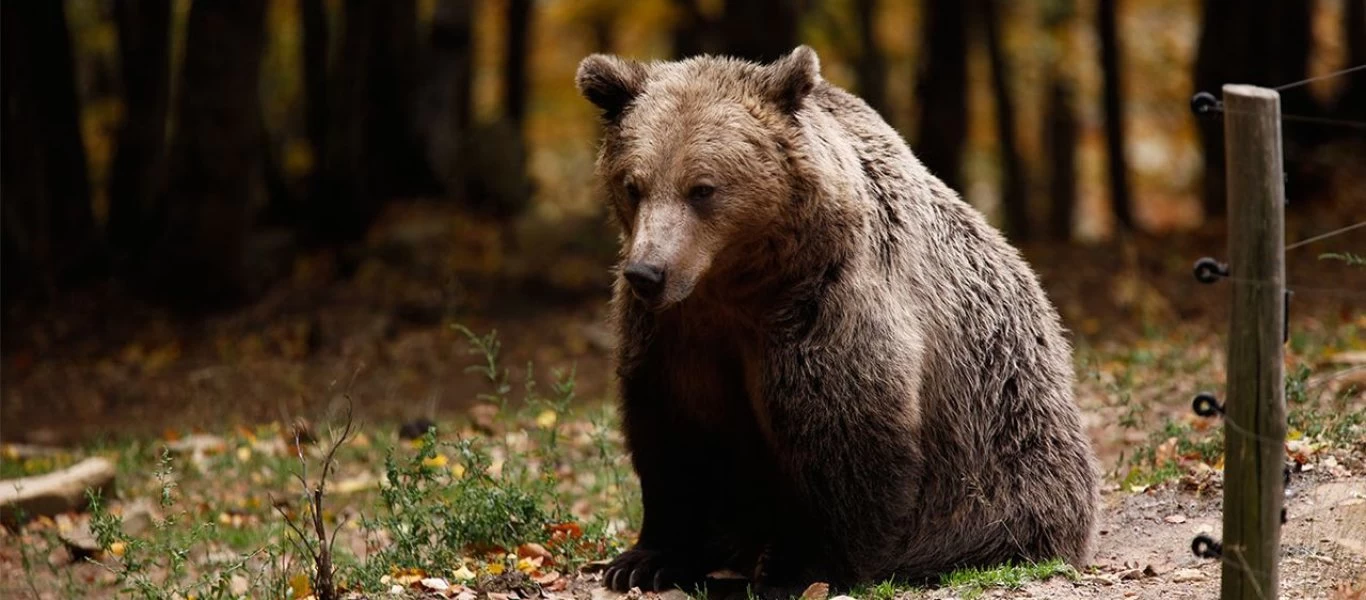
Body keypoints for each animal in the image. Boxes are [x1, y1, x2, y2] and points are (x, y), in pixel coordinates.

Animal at [573, 47, 1098, 600]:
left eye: (702, 189)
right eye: (634, 185)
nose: (647, 272)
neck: (735, 284)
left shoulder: (822, 309)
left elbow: (843, 435)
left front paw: (799, 568)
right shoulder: (674, 333)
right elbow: (672, 434)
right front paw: (644, 560)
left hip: (1005, 448)